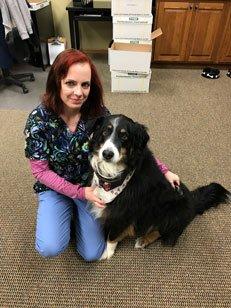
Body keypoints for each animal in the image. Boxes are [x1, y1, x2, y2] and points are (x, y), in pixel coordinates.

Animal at [88, 114, 229, 258]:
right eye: (105, 131)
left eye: (124, 136)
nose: (107, 154)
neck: (113, 177)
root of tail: (193, 202)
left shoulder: (125, 212)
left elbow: (112, 235)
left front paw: (107, 252)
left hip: (170, 213)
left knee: (161, 231)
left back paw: (143, 240)